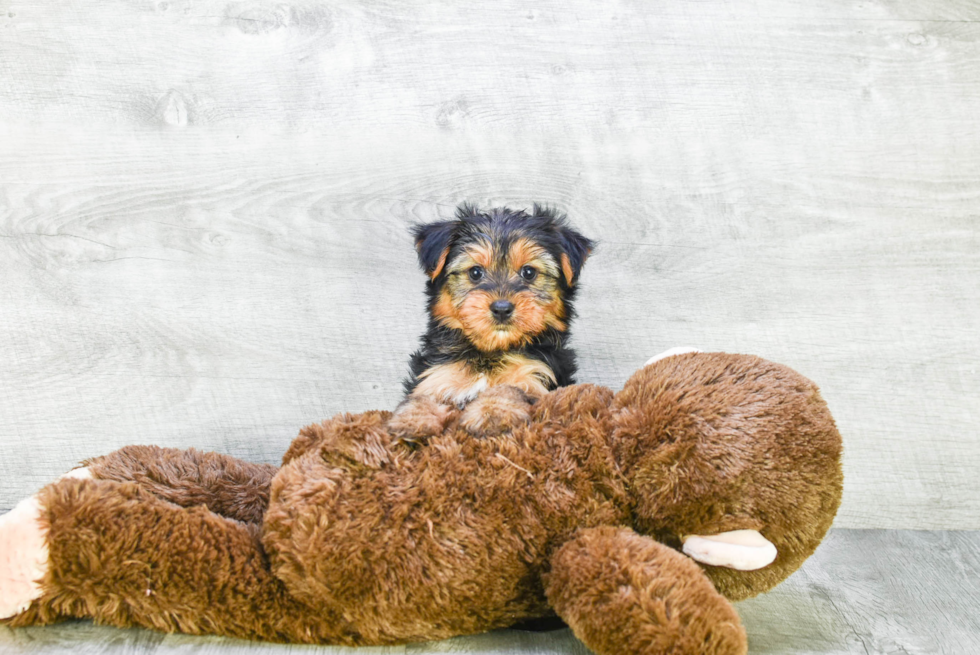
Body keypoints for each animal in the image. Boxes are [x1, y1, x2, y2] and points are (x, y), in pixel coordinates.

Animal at [388, 204, 588, 440]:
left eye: (529, 272)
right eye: (475, 272)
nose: (501, 308)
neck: (490, 350)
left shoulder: (538, 379)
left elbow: (509, 388)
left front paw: (493, 414)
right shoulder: (437, 373)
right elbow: (423, 395)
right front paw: (412, 420)